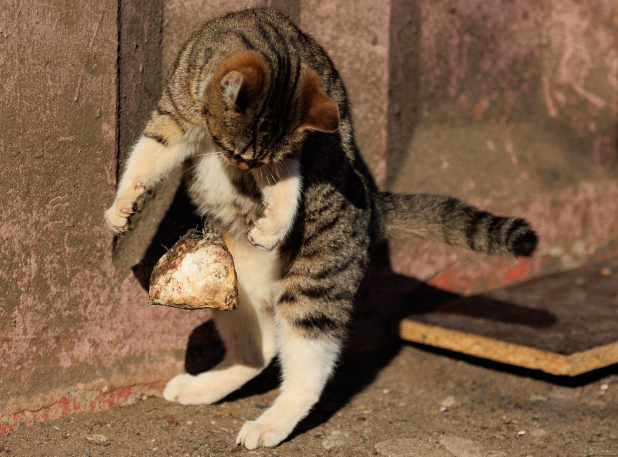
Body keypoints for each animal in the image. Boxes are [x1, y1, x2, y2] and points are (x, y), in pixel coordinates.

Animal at [104, 8, 537, 449]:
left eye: (247, 158)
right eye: (231, 152)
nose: (241, 168)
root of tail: (372, 209)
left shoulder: (290, 153)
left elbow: (286, 186)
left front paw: (273, 224)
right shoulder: (175, 112)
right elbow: (149, 153)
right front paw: (122, 210)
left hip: (311, 290)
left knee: (306, 374)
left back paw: (269, 425)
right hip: (232, 288)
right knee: (258, 352)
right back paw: (201, 388)